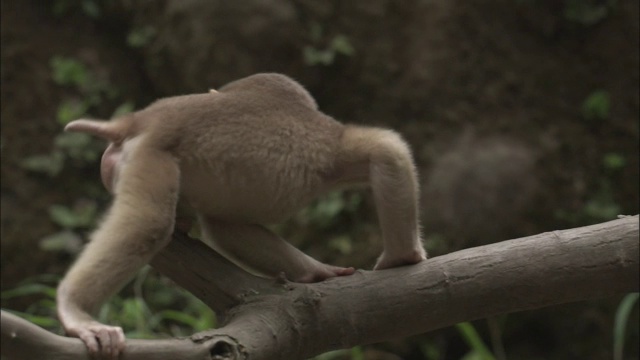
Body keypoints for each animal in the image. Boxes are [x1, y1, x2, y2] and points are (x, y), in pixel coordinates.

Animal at [55, 72, 424, 358]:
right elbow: (386, 150)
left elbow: (225, 227)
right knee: (148, 223)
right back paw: (75, 308)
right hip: (153, 153)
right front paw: (402, 257)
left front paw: (314, 271)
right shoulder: (332, 149)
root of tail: (141, 120)